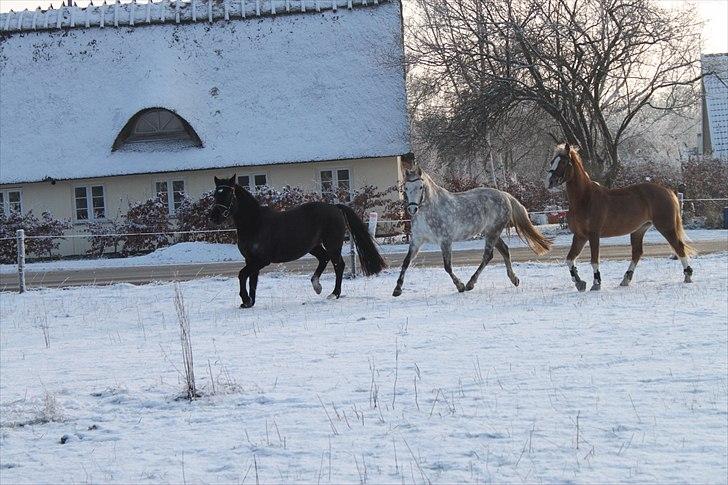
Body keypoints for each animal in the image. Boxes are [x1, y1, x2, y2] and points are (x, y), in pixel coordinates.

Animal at [392, 165, 552, 294]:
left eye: (420, 187)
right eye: (406, 188)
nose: (412, 209)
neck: (429, 211)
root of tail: (504, 195)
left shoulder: (445, 241)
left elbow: (447, 266)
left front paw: (460, 286)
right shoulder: (417, 241)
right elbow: (406, 262)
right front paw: (397, 289)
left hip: (493, 232)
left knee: (488, 256)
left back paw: (470, 284)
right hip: (490, 232)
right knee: (504, 250)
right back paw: (514, 280)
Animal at [544, 142, 692, 290]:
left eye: (563, 162)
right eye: (552, 161)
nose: (549, 182)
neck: (584, 199)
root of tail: (669, 191)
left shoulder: (593, 235)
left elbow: (594, 260)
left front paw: (596, 283)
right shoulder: (580, 236)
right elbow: (569, 259)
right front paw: (579, 282)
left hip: (666, 227)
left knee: (679, 247)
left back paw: (687, 275)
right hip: (639, 230)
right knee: (637, 253)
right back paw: (626, 279)